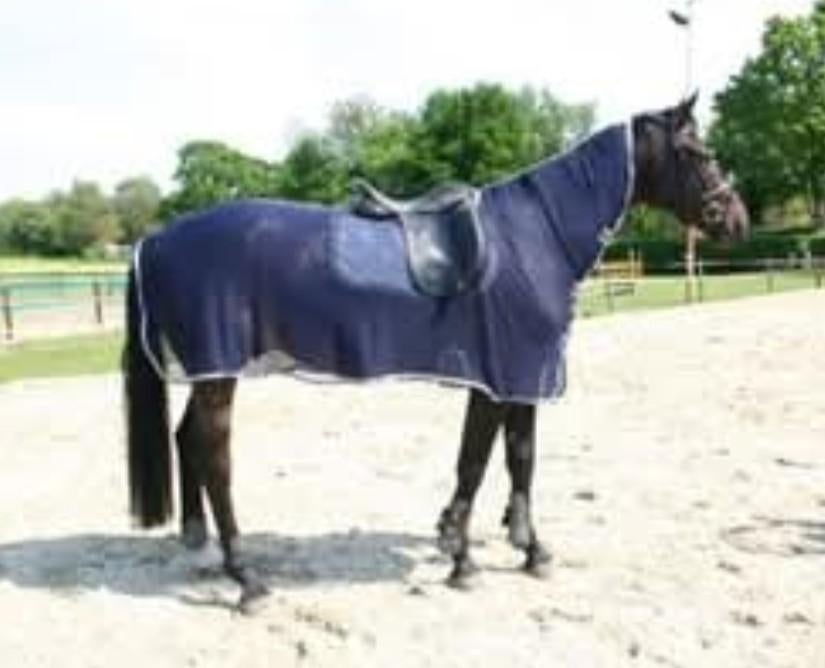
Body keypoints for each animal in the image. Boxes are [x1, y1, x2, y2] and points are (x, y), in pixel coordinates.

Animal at [124, 94, 749, 610]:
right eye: (697, 153)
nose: (736, 219)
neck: (534, 236)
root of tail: (153, 240)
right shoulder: (499, 379)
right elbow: (475, 462)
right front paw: (462, 557)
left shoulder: (520, 377)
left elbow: (520, 458)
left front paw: (528, 549)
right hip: (219, 372)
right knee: (213, 454)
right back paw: (246, 578)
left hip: (213, 372)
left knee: (186, 438)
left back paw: (200, 546)